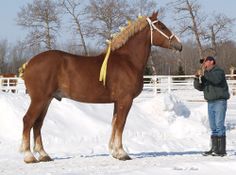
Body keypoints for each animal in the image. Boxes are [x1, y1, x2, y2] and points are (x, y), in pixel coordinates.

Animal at [20, 11, 183, 163]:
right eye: (162, 26)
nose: (179, 45)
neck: (128, 61)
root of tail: (29, 63)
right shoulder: (125, 100)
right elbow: (121, 124)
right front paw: (122, 153)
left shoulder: (118, 102)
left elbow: (114, 124)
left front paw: (114, 152)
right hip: (39, 100)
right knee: (28, 120)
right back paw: (29, 156)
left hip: (47, 100)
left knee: (38, 123)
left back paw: (43, 155)